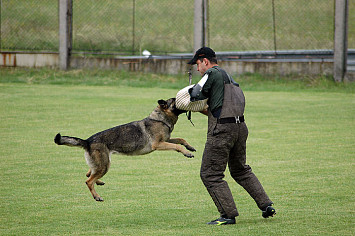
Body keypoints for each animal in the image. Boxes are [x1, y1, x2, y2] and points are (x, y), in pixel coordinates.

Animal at [54, 97, 196, 201]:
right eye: (176, 100)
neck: (160, 119)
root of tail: (87, 141)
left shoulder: (166, 140)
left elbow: (180, 139)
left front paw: (189, 147)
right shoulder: (158, 144)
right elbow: (177, 145)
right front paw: (187, 153)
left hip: (102, 163)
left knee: (89, 173)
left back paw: (98, 182)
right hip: (104, 165)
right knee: (88, 181)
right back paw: (97, 196)